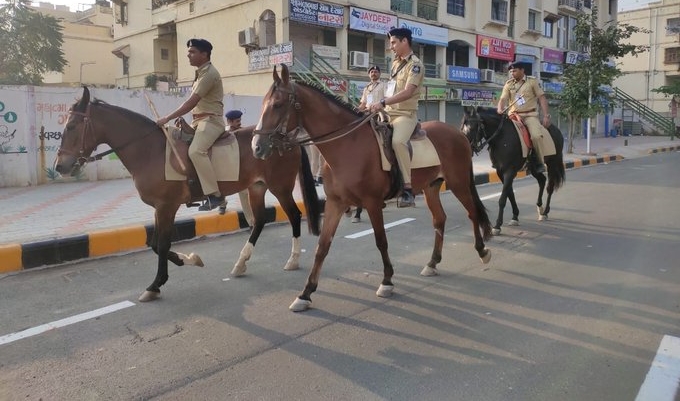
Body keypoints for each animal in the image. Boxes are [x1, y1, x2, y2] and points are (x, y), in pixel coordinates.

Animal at [53, 86, 318, 302]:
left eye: (72, 126)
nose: (60, 166)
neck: (151, 151)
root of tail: (287, 139)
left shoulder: (167, 206)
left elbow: (161, 245)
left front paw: (156, 284)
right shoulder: (159, 208)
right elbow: (154, 244)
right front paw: (187, 259)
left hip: (280, 186)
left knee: (294, 215)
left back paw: (293, 259)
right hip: (257, 187)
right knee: (260, 220)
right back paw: (241, 263)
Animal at [252, 64, 492, 310]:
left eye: (277, 104)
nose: (256, 147)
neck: (348, 145)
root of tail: (459, 134)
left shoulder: (373, 203)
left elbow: (381, 241)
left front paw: (387, 281)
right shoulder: (335, 203)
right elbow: (322, 246)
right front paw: (305, 293)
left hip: (459, 183)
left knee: (473, 212)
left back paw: (482, 250)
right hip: (432, 187)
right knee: (440, 219)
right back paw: (432, 263)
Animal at [460, 106, 564, 234]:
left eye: (472, 127)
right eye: (462, 126)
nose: (464, 147)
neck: (501, 137)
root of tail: (557, 130)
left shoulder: (510, 171)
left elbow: (503, 198)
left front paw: (497, 225)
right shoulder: (500, 172)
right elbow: (510, 194)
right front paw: (515, 216)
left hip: (553, 163)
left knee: (550, 186)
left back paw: (545, 212)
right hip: (533, 167)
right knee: (542, 180)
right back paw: (540, 207)